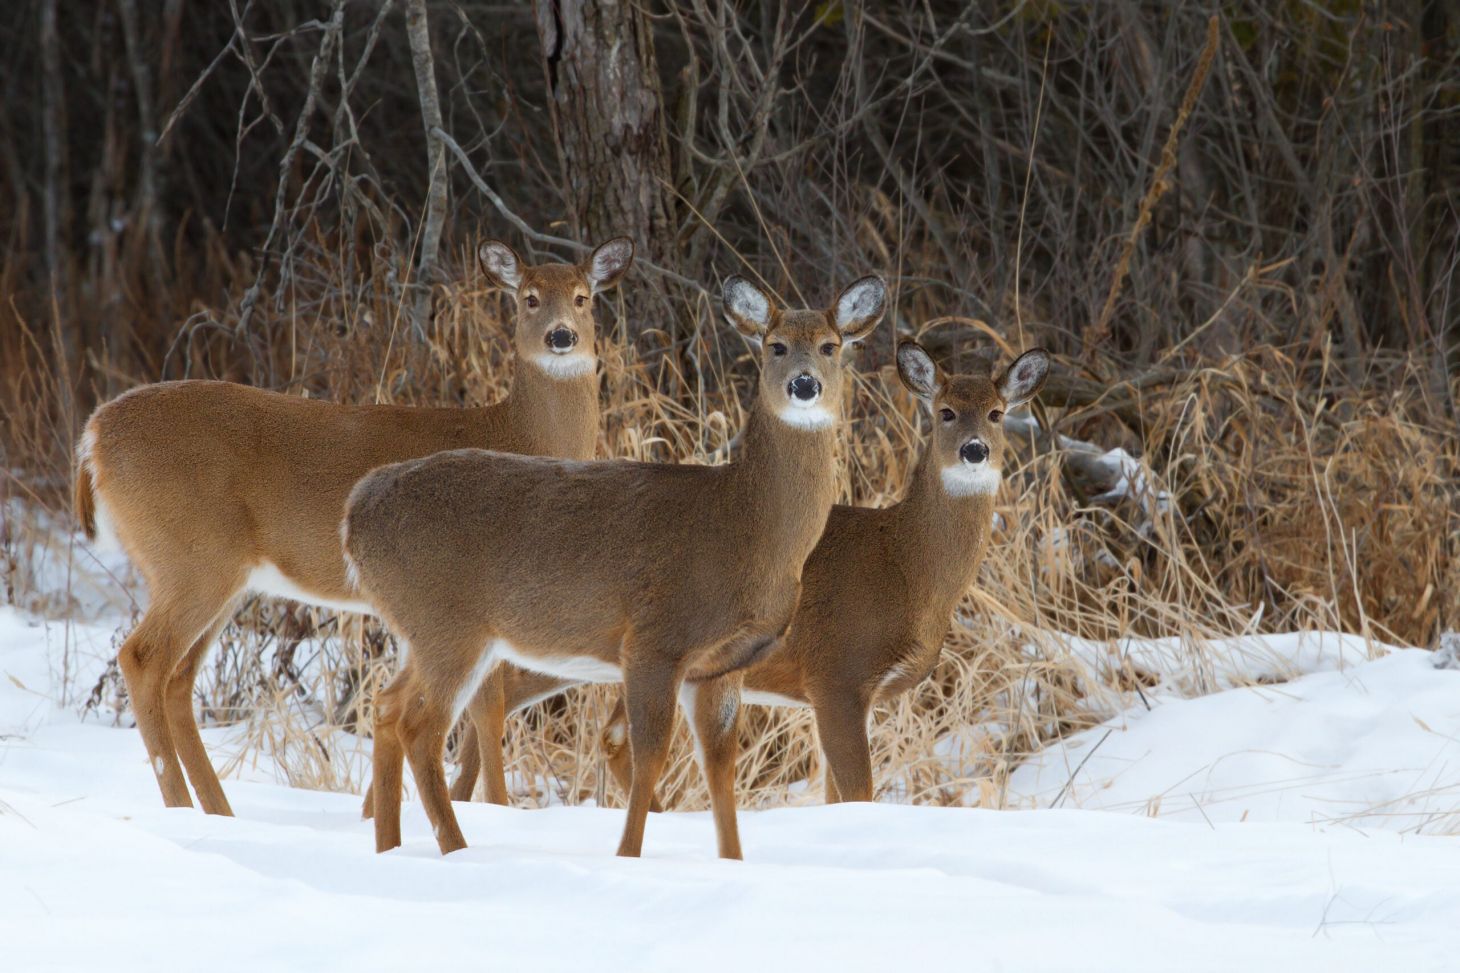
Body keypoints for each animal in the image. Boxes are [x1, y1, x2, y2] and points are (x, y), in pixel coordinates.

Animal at [72, 236, 635, 816]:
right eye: (528, 298)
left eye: (583, 297)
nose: (561, 336)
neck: (516, 434)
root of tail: (93, 436)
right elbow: (487, 708)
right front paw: (495, 810)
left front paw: (374, 813)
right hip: (191, 556)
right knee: (143, 659)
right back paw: (183, 807)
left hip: (220, 573)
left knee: (179, 679)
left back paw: (219, 811)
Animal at [341, 273, 887, 859]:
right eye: (775, 346)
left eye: (831, 346)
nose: (804, 385)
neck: (748, 530)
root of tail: (356, 512)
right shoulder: (655, 639)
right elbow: (650, 755)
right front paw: (628, 856)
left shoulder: (722, 665)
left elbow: (720, 767)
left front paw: (732, 862)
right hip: (448, 623)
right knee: (420, 725)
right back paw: (456, 849)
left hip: (419, 630)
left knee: (386, 707)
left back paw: (390, 847)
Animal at [450, 340, 1049, 809]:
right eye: (944, 411)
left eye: (997, 413)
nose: (975, 451)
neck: (906, 566)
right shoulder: (837, 674)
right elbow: (858, 792)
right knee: (494, 696)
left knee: (600, 733)